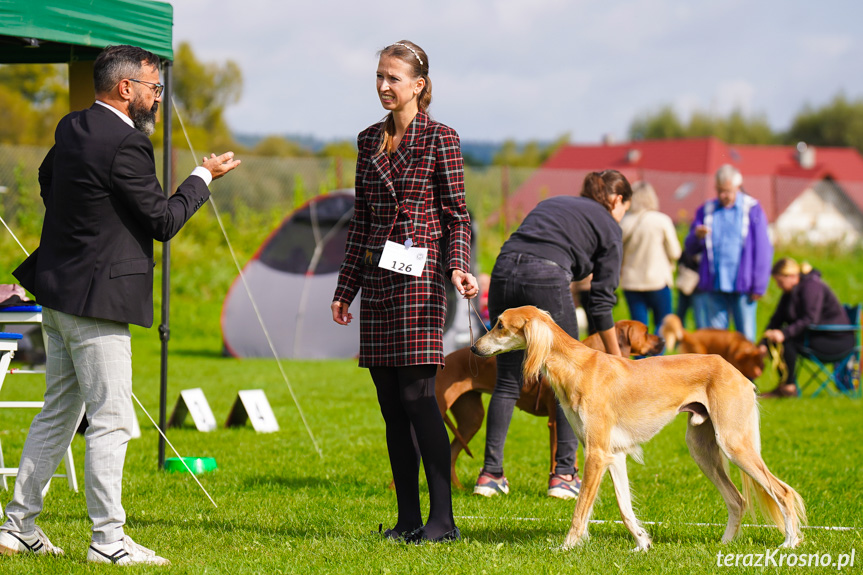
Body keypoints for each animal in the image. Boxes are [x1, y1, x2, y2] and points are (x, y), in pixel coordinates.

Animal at [436, 320, 664, 490]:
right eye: (646, 332)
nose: (662, 339)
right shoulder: (557, 421)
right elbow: (559, 454)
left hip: (472, 419)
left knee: (452, 452)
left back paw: (458, 488)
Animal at [470, 306, 808, 552]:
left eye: (500, 325)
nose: (474, 347)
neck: (576, 365)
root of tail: (737, 372)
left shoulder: (596, 453)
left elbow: (581, 509)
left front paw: (566, 547)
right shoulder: (614, 454)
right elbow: (624, 508)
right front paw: (642, 542)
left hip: (734, 443)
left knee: (783, 491)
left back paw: (790, 543)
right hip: (702, 449)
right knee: (737, 499)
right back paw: (724, 544)